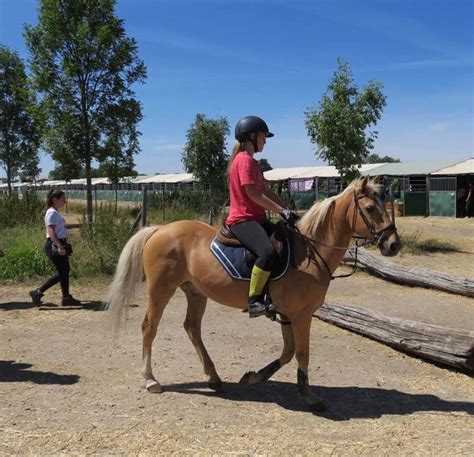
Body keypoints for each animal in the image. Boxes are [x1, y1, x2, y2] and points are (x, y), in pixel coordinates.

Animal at [106, 176, 400, 412]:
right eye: (370, 208)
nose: (393, 244)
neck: (309, 253)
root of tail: (160, 229)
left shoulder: (287, 313)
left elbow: (288, 352)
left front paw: (253, 377)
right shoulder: (301, 315)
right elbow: (302, 353)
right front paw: (309, 396)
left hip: (196, 293)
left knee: (192, 328)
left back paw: (213, 378)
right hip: (160, 290)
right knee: (149, 327)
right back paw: (151, 379)